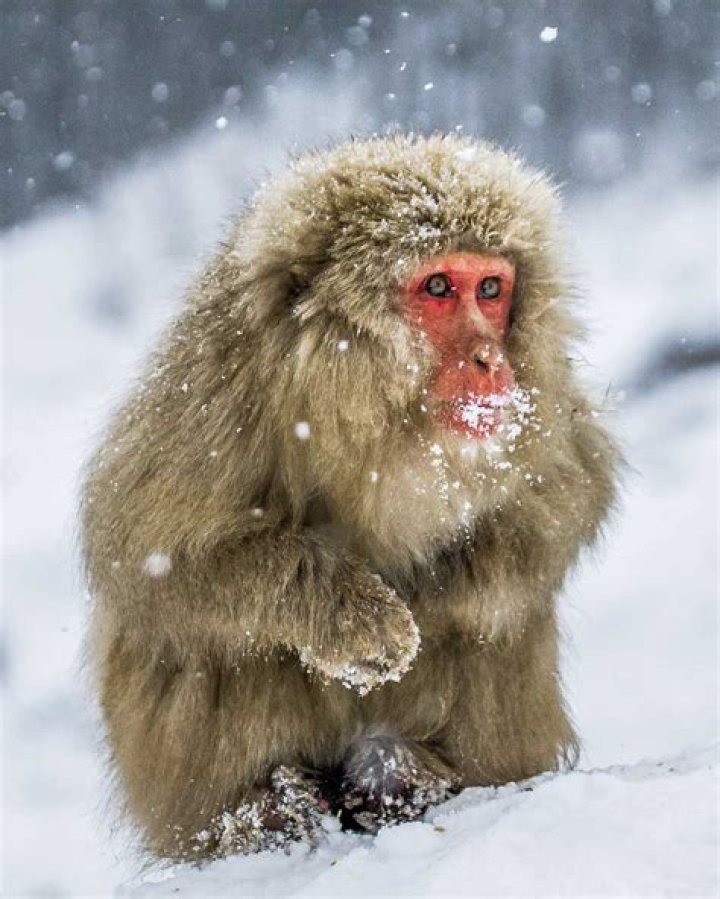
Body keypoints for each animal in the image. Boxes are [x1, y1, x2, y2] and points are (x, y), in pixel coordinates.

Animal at [81, 134, 618, 861]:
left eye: (491, 288)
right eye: (438, 287)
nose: (489, 358)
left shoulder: (538, 392)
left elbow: (571, 481)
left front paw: (444, 582)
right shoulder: (220, 380)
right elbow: (143, 546)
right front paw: (353, 615)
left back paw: (407, 776)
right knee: (214, 637)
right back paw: (263, 809)